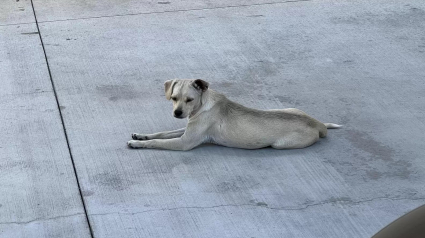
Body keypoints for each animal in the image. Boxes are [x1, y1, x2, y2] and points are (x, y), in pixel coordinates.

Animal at [126, 79, 342, 151]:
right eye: (173, 97)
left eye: (189, 99)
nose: (177, 113)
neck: (203, 104)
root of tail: (318, 124)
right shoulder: (186, 129)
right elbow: (162, 133)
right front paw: (141, 135)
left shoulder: (184, 142)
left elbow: (158, 141)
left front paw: (137, 144)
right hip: (288, 108)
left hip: (280, 144)